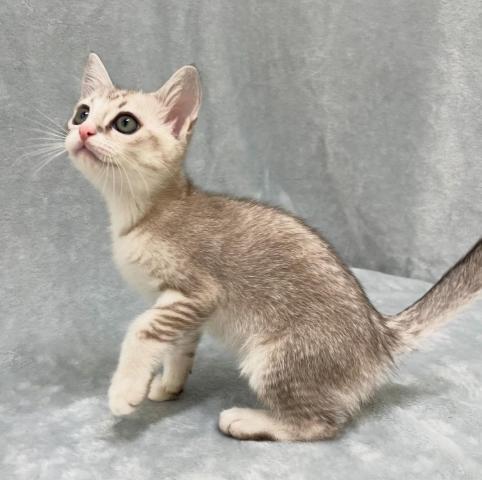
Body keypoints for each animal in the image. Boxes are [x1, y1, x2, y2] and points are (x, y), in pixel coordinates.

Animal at [65, 53, 481, 441]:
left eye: (125, 123)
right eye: (81, 112)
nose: (83, 130)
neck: (142, 214)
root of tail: (379, 332)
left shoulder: (197, 291)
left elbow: (141, 330)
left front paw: (125, 390)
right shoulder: (184, 308)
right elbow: (179, 347)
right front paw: (168, 384)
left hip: (274, 358)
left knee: (323, 424)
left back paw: (249, 420)